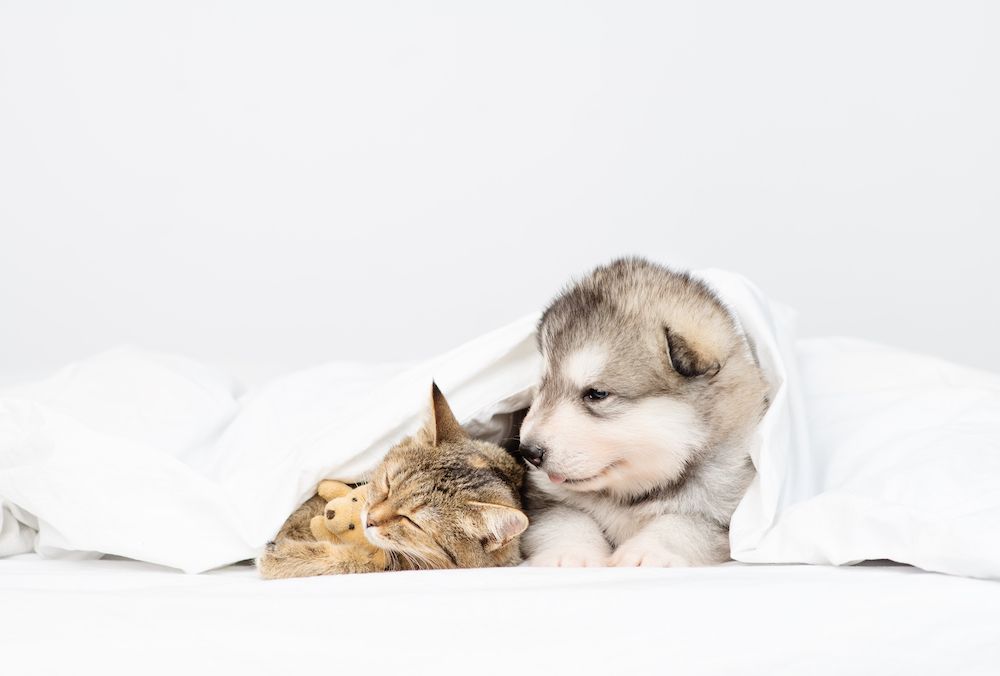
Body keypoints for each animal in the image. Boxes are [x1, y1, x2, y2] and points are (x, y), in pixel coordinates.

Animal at [520, 258, 768, 564]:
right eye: (543, 385)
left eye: (597, 394)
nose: (528, 451)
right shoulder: (544, 501)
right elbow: (566, 520)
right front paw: (570, 554)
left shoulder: (727, 516)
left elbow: (681, 524)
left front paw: (646, 552)